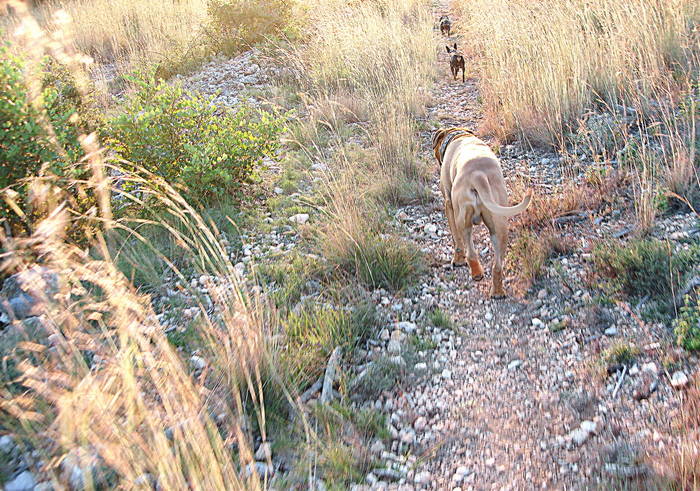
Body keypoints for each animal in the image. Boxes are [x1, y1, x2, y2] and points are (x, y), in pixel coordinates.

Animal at [430, 127, 532, 298]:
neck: (458, 135)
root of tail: (479, 175)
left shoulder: (449, 205)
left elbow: (457, 240)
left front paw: (458, 260)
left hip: (462, 219)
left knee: (469, 250)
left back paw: (476, 273)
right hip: (499, 227)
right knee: (497, 265)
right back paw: (497, 292)